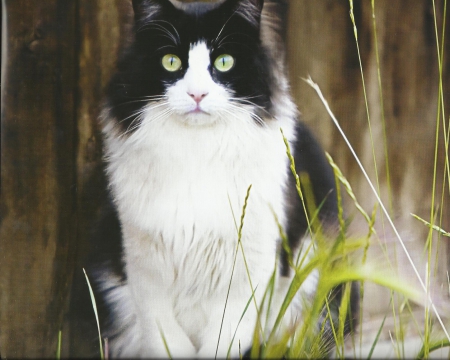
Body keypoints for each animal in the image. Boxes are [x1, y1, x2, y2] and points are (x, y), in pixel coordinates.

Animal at [91, 0, 356, 356]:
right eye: (171, 62)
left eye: (224, 62)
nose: (197, 95)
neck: (196, 152)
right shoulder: (144, 265)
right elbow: (167, 339)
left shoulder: (249, 270)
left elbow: (223, 340)